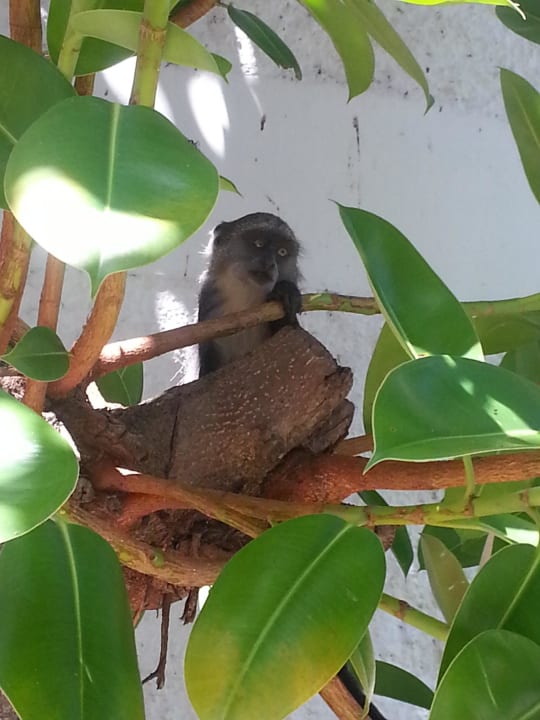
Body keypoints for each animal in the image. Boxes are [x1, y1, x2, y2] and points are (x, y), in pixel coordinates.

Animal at [197, 212, 302, 377]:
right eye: (258, 243)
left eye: (282, 252)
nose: (269, 263)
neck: (246, 299)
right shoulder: (208, 303)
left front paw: (285, 291)